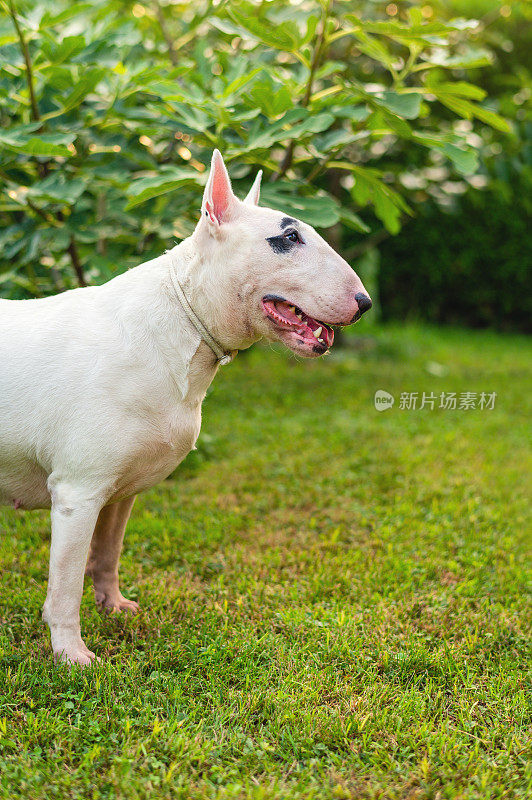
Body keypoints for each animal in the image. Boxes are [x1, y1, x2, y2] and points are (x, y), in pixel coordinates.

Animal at [0, 150, 372, 664]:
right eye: (290, 238)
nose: (365, 302)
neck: (182, 319)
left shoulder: (119, 492)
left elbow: (107, 553)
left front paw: (114, 606)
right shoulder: (78, 491)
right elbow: (66, 585)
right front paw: (72, 654)